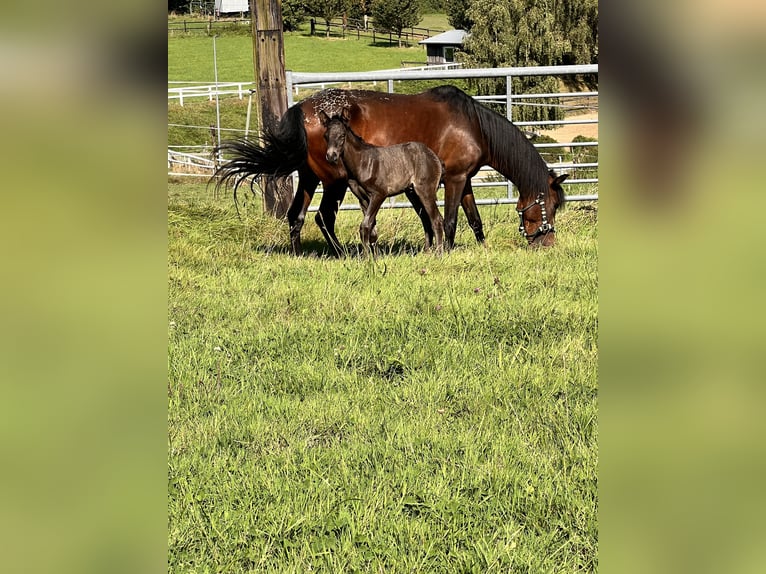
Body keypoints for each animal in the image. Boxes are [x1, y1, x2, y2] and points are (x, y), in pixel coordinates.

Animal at [320, 111, 448, 255]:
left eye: (342, 135)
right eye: (326, 136)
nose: (331, 157)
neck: (362, 163)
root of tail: (435, 158)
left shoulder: (378, 195)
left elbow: (365, 225)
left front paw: (367, 257)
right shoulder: (363, 199)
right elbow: (371, 229)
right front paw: (374, 257)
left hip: (425, 191)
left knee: (436, 220)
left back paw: (438, 254)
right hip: (413, 194)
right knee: (426, 220)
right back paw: (426, 253)